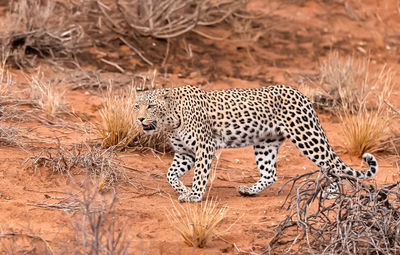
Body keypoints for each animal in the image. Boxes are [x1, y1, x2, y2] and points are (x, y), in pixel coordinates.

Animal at [134, 84, 378, 202]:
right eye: (137, 106)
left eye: (151, 106)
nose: (140, 119)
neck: (170, 120)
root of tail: (302, 95)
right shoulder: (185, 153)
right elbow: (170, 174)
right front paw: (183, 189)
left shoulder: (204, 148)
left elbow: (200, 175)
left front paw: (194, 195)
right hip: (265, 143)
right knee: (271, 173)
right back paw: (249, 191)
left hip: (307, 137)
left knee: (332, 166)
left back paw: (332, 194)